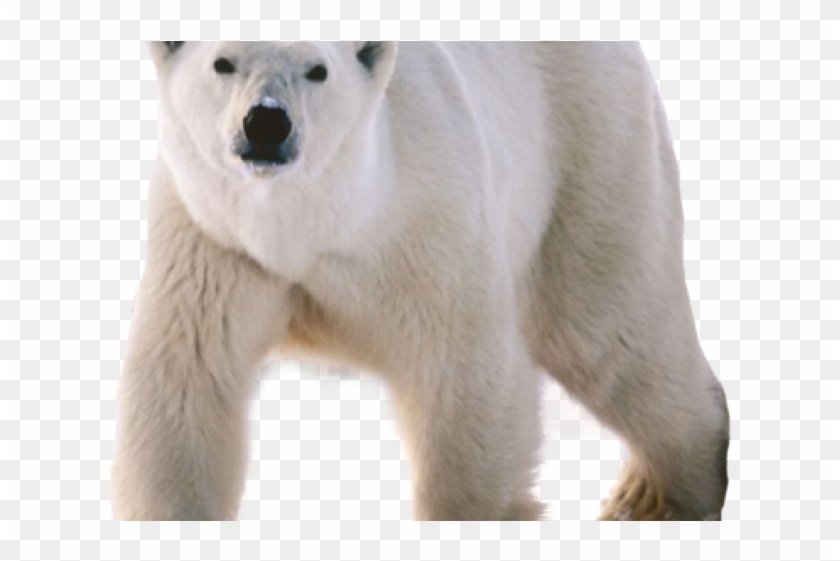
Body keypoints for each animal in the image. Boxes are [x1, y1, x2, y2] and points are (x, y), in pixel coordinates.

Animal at [112, 41, 730, 521]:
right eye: (223, 62)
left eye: (318, 69)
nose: (267, 122)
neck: (311, 226)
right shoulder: (211, 242)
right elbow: (187, 385)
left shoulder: (426, 222)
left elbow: (460, 377)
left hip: (589, 152)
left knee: (603, 331)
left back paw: (659, 496)